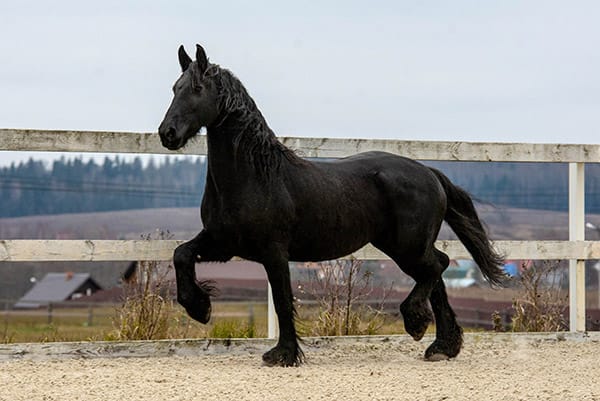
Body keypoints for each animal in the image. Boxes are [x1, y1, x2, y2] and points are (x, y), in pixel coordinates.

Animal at [157, 43, 504, 366]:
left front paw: (283, 355)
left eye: (197, 89)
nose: (167, 133)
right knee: (437, 272)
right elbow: (181, 254)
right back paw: (442, 347)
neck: (254, 176)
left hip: (407, 246)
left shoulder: (273, 251)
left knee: (437, 267)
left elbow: (283, 300)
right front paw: (200, 308)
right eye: (174, 88)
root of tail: (429, 172)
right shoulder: (224, 242)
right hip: (405, 246)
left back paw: (417, 323)